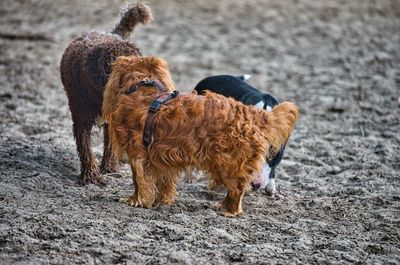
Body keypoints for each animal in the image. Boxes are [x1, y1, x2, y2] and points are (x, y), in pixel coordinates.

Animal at [104, 56, 300, 216]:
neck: (143, 88)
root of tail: (255, 115)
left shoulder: (137, 154)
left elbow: (139, 180)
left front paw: (135, 200)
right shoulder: (163, 158)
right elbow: (164, 182)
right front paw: (162, 201)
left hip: (229, 164)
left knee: (236, 191)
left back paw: (228, 210)